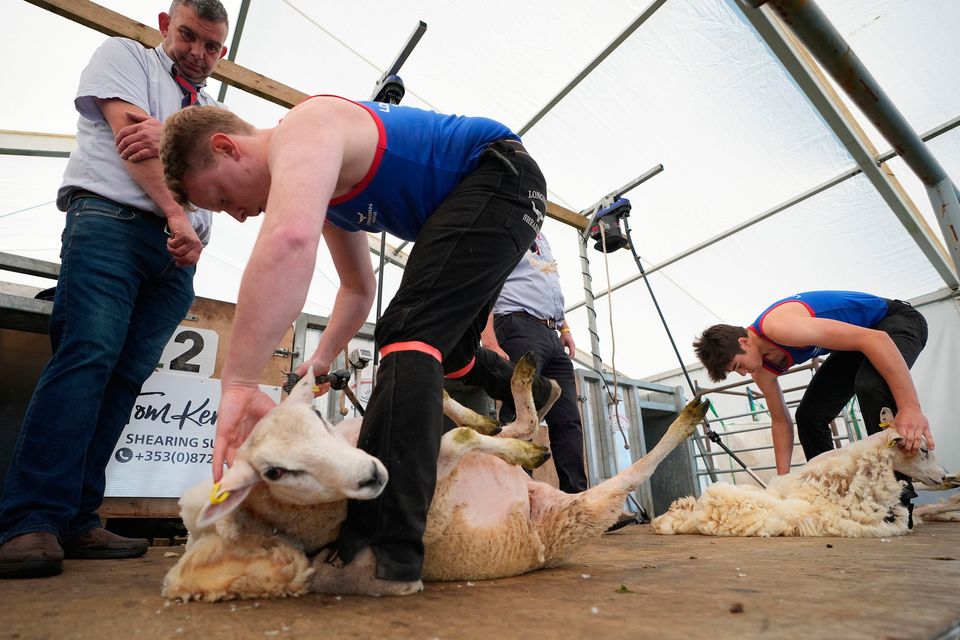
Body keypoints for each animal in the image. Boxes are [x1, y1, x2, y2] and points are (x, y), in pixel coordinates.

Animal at [161, 356, 708, 600]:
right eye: (275, 473)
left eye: (316, 419)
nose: (373, 474)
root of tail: (535, 497)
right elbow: (460, 442)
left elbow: (467, 434)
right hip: (577, 515)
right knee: (628, 474)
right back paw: (687, 416)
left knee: (515, 421)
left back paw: (508, 392)